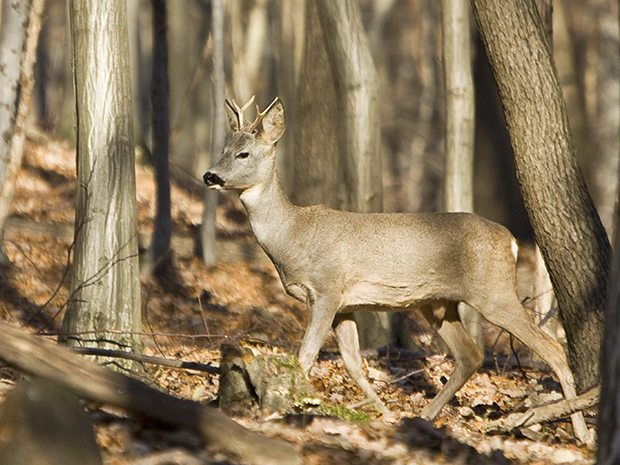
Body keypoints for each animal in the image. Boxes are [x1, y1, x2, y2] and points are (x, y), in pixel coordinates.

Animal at [205, 96, 592, 440]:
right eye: (223, 148)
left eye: (243, 153)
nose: (209, 175)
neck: (292, 236)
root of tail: (510, 241)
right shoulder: (345, 305)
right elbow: (352, 363)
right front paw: (382, 411)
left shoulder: (327, 290)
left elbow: (306, 356)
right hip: (437, 304)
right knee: (471, 354)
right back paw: (425, 415)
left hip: (494, 292)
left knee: (553, 348)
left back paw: (578, 431)